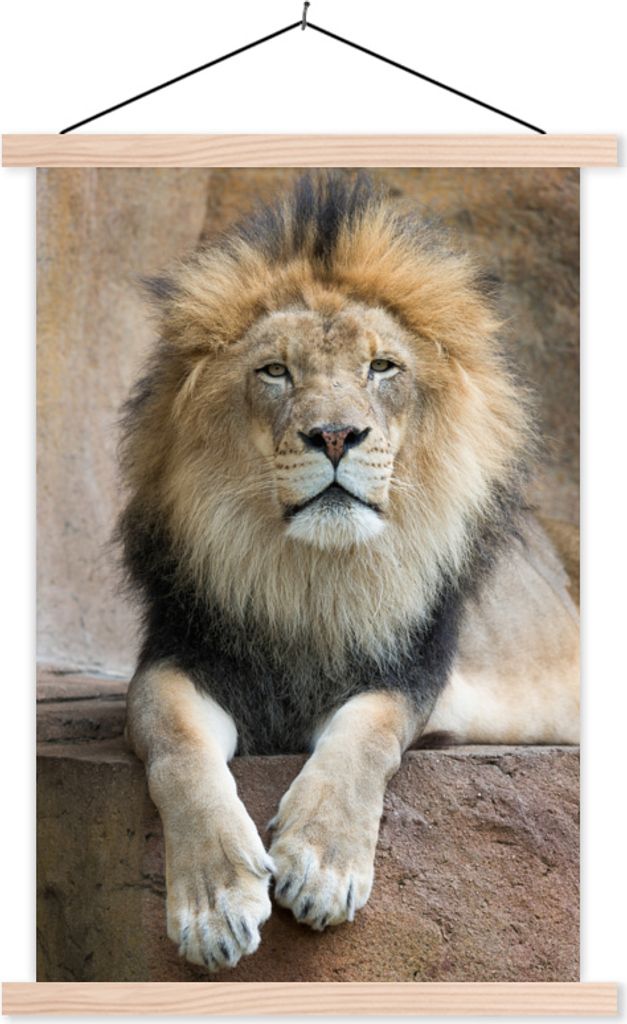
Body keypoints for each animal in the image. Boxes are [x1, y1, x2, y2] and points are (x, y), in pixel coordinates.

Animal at [120, 173, 579, 973]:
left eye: (381, 367)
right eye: (276, 371)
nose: (334, 434)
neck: (312, 576)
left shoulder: (413, 670)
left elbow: (367, 731)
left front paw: (322, 865)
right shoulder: (178, 657)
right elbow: (176, 744)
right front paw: (213, 905)